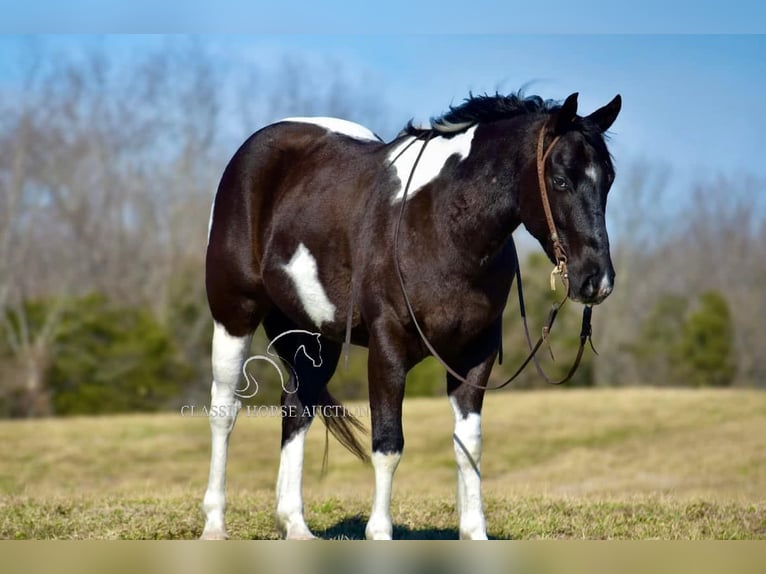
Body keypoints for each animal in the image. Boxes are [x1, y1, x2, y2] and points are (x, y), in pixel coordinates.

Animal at [200, 90, 624, 540]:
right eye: (560, 180)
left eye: (608, 181)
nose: (597, 280)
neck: (442, 224)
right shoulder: (388, 349)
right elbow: (388, 444)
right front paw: (379, 533)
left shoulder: (475, 355)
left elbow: (469, 445)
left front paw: (475, 532)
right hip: (234, 314)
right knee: (224, 411)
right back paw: (214, 524)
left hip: (313, 338)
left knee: (297, 409)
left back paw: (295, 525)